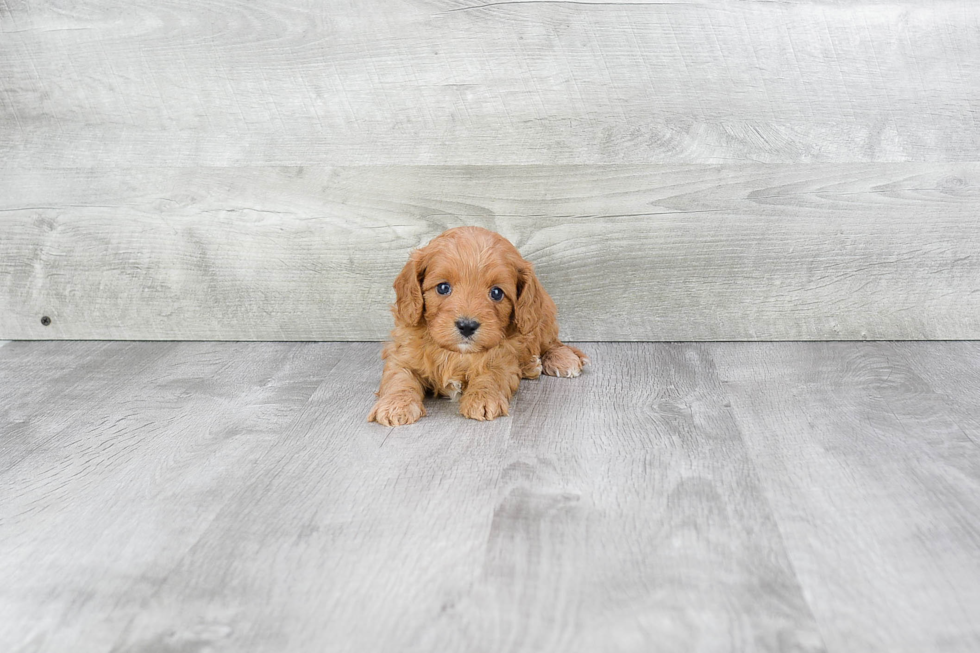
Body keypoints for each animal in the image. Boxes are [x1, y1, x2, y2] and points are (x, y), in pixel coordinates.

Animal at [366, 227, 580, 426]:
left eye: (496, 293)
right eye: (443, 288)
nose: (467, 326)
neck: (455, 353)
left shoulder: (501, 358)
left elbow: (492, 374)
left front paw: (483, 398)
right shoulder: (402, 354)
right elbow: (399, 378)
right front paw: (395, 405)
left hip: (542, 317)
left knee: (551, 342)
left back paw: (561, 360)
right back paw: (531, 366)